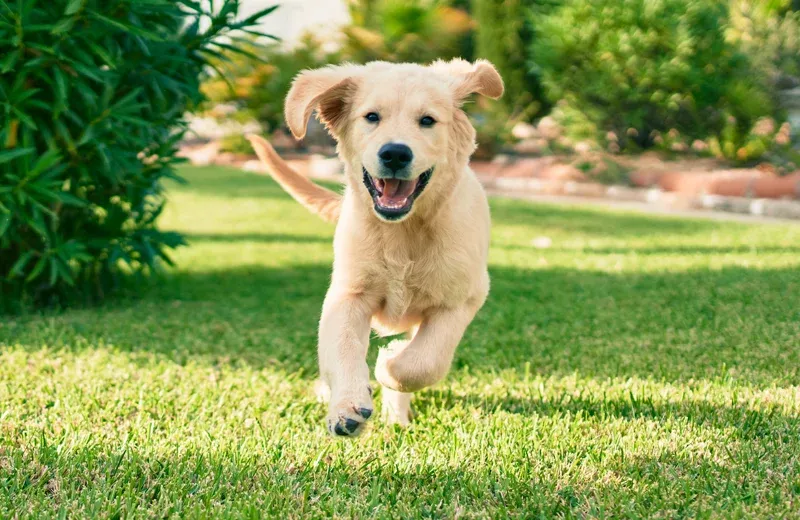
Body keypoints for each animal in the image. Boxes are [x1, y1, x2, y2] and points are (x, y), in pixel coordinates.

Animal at [247, 59, 504, 436]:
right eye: (371, 117)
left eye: (427, 120)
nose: (395, 153)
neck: (403, 232)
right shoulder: (349, 293)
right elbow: (341, 347)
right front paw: (347, 408)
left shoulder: (463, 298)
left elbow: (425, 361)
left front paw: (389, 362)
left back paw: (396, 413)